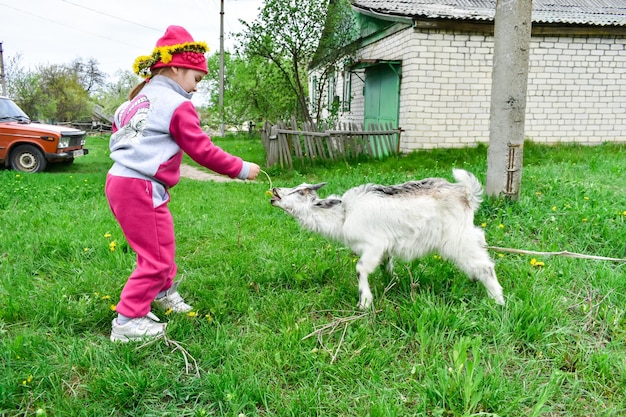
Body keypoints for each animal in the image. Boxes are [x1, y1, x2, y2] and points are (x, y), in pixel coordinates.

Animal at [266, 167, 502, 308]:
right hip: (465, 232)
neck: (343, 215)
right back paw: (475, 280)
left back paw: (498, 301)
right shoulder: (385, 249)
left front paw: (365, 302)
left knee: (485, 266)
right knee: (480, 240)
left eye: (301, 192)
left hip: (455, 238)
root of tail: (465, 194)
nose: (275, 190)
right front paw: (392, 282)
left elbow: (360, 268)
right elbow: (385, 266)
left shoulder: (374, 244)